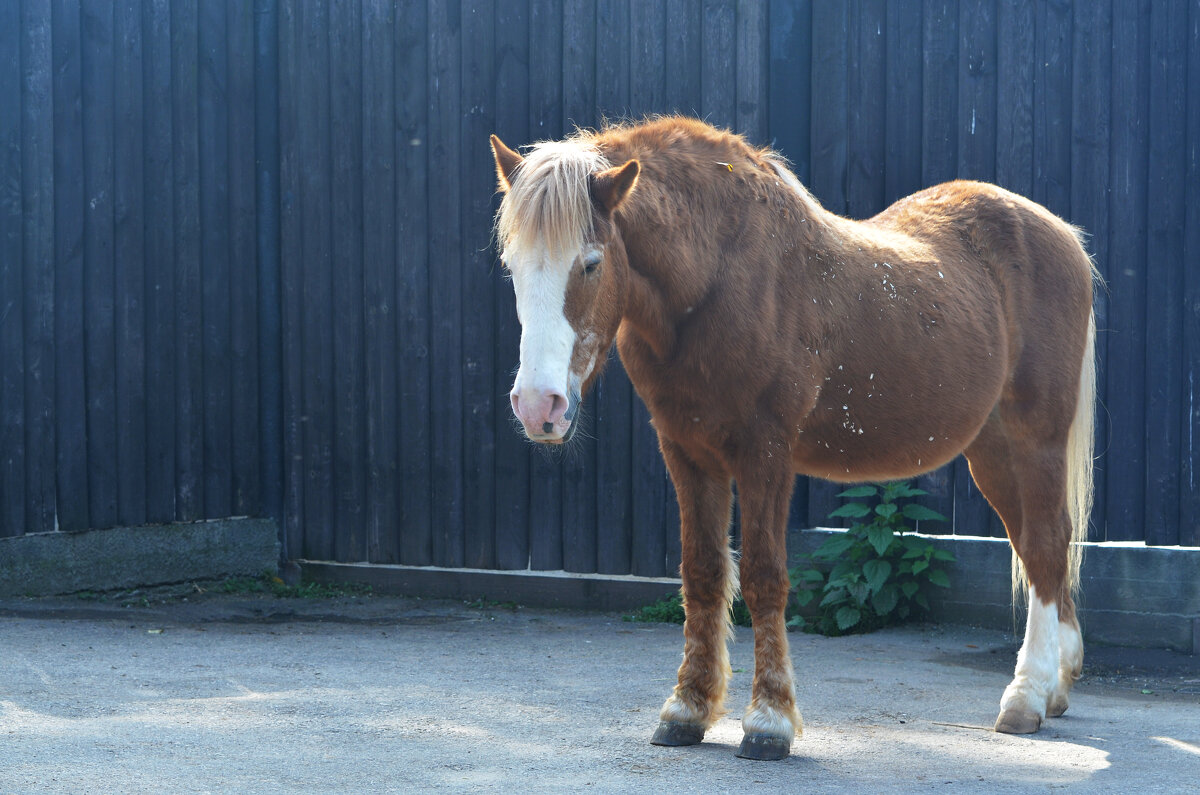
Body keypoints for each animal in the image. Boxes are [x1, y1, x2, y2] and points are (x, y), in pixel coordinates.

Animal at [487, 117, 1099, 758]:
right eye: (512, 265)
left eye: (590, 263)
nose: (539, 406)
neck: (717, 279)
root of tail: (1062, 235)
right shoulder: (687, 451)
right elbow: (703, 573)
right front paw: (687, 709)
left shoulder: (767, 451)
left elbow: (763, 576)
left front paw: (769, 720)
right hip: (993, 451)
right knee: (1034, 545)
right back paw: (1056, 685)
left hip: (1036, 437)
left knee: (1046, 545)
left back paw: (1027, 696)